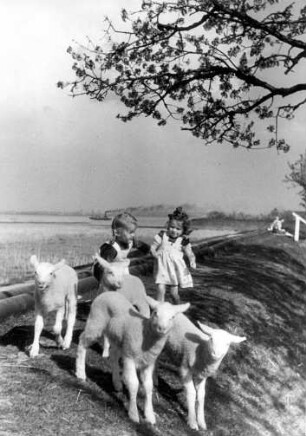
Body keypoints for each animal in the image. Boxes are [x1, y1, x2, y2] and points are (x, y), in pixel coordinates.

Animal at [75, 292, 190, 424]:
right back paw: (80, 373)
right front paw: (133, 414)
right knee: (82, 341)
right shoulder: (130, 357)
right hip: (96, 321)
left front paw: (150, 415)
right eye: (155, 313)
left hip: (118, 338)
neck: (145, 334)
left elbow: (149, 386)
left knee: (113, 354)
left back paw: (117, 383)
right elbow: (134, 383)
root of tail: (107, 293)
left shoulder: (148, 363)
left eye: (172, 317)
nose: (161, 328)